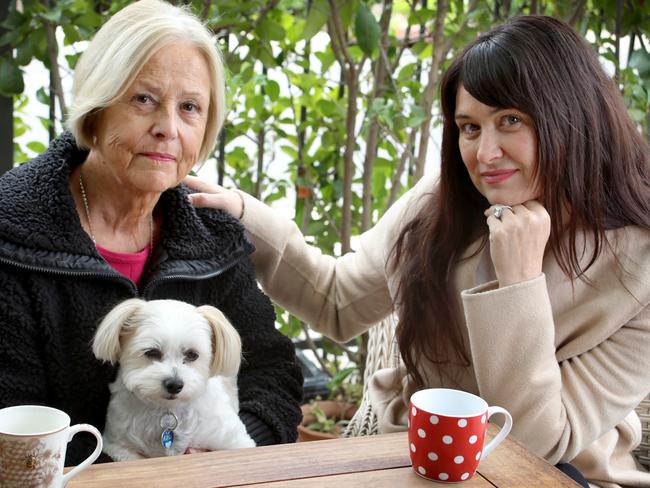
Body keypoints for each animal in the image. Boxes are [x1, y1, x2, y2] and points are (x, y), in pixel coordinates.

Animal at [92, 298, 254, 462]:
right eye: (151, 352)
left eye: (192, 354)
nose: (174, 385)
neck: (167, 410)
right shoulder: (119, 446)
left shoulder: (236, 441)